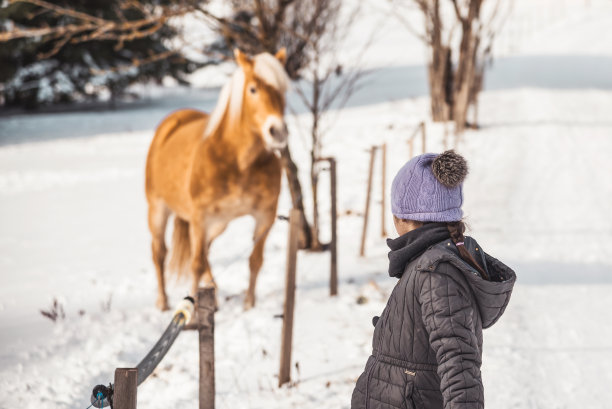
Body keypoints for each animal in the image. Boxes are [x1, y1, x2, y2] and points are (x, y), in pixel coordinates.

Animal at [146, 48, 292, 310]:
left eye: (282, 89)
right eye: (253, 89)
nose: (277, 132)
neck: (237, 160)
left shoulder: (265, 216)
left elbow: (255, 260)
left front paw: (249, 304)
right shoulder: (200, 218)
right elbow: (195, 264)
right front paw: (192, 310)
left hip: (218, 224)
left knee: (205, 251)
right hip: (158, 210)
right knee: (160, 253)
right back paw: (163, 301)